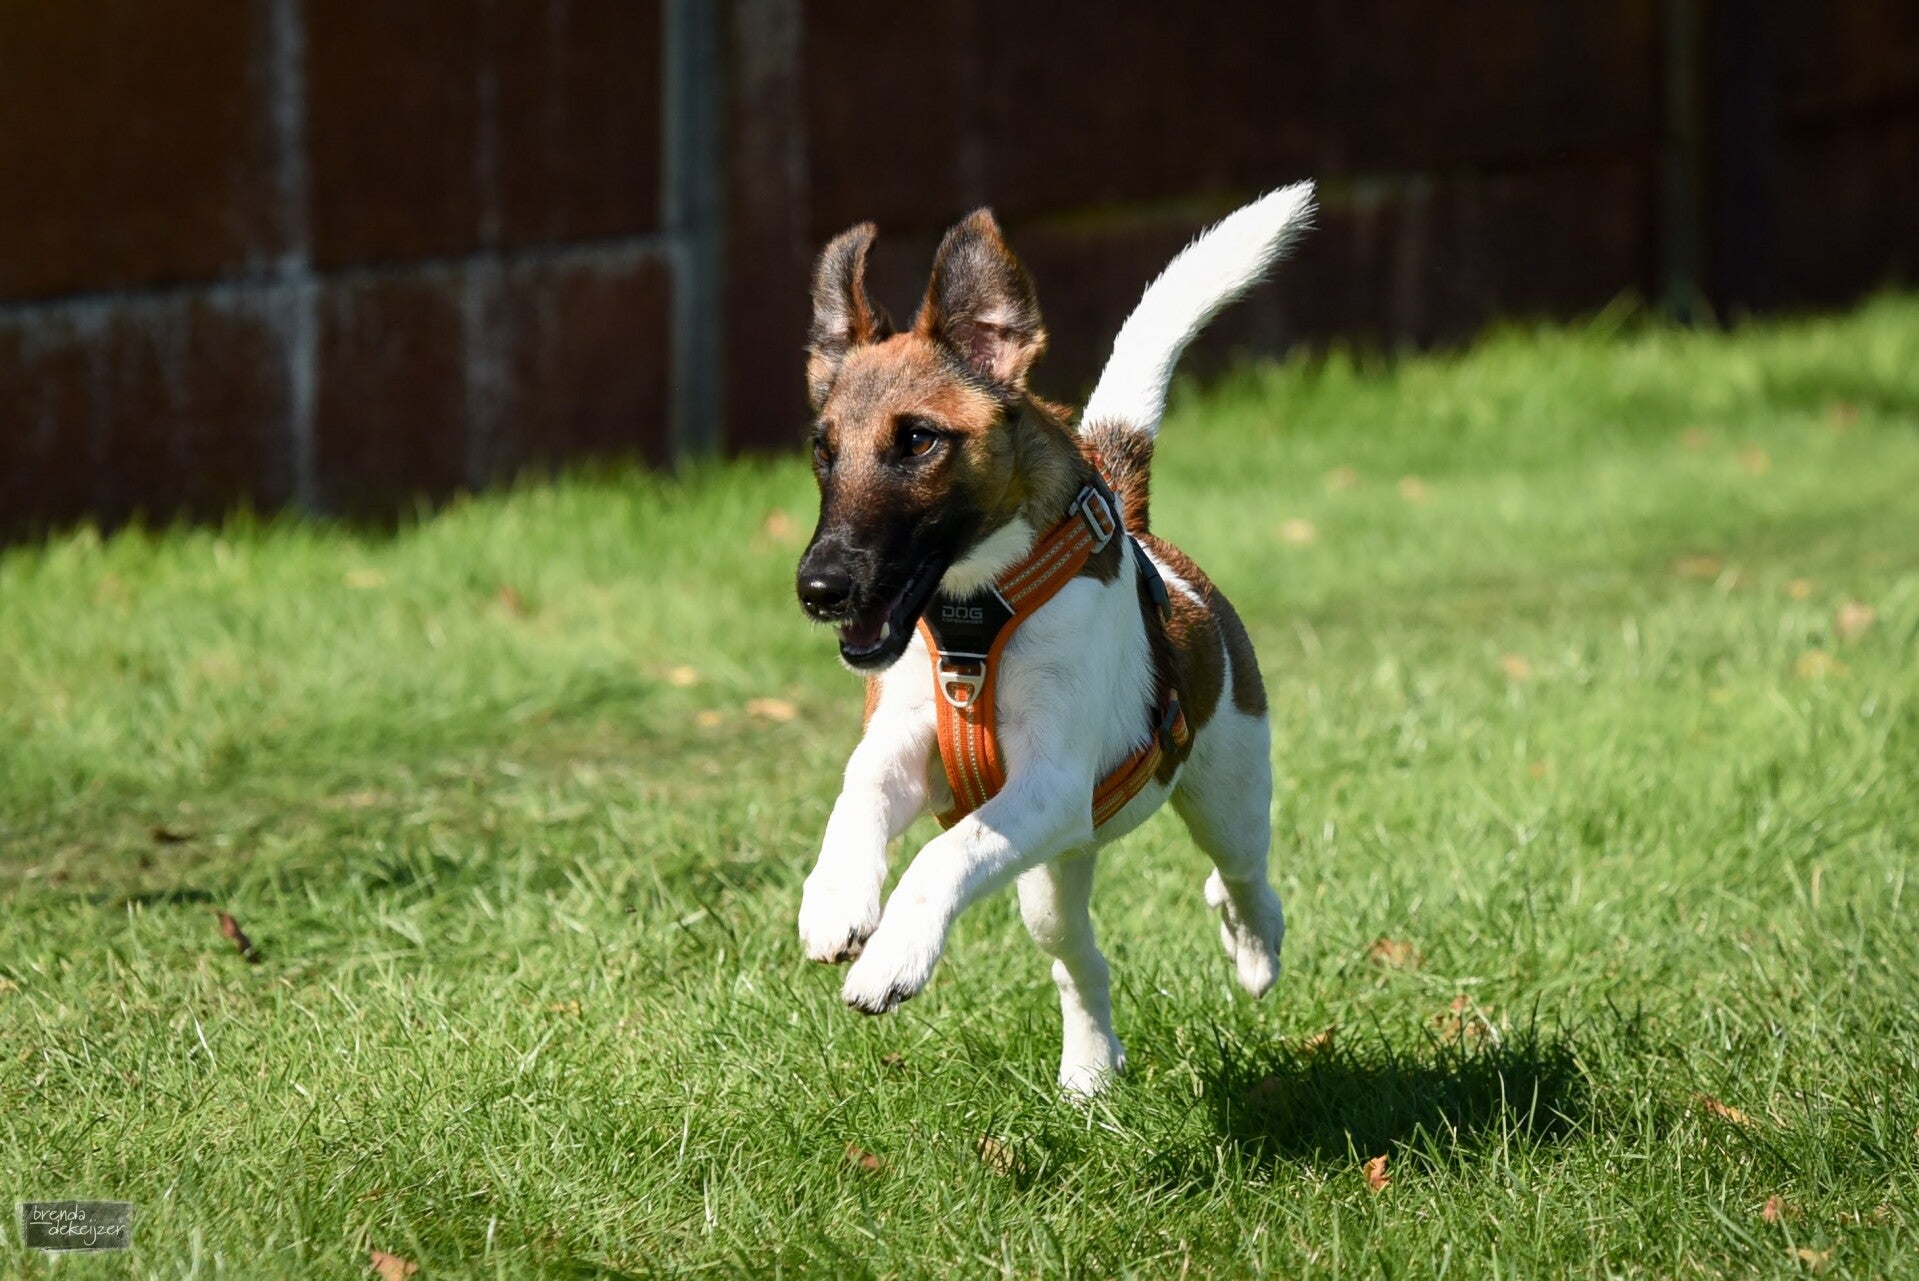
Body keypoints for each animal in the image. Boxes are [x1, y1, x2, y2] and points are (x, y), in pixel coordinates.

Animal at [793, 184, 1315, 1094]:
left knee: (1243, 876)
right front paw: (835, 896)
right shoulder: (907, 739)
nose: (818, 587)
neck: (977, 618)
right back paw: (1091, 1066)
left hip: (1226, 787)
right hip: (1052, 868)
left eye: (918, 439)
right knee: (1081, 961)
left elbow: (941, 857)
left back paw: (1253, 950)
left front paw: (892, 954)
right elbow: (860, 789)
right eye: (823, 451)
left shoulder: (1051, 781)